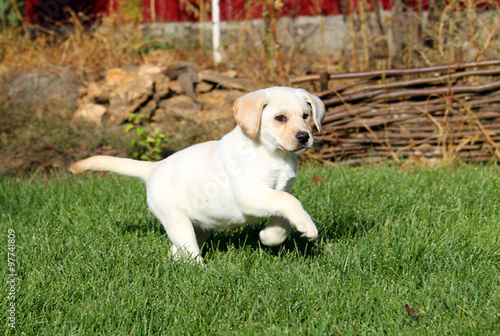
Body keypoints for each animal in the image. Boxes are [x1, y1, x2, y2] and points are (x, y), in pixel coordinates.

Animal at [71, 86, 328, 262]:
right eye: (280, 118)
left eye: (306, 116)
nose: (304, 137)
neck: (274, 154)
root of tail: (154, 167)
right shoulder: (249, 194)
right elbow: (289, 202)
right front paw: (308, 228)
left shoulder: (277, 190)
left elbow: (283, 213)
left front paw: (270, 237)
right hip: (177, 221)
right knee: (190, 254)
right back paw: (201, 271)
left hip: (199, 228)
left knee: (177, 251)